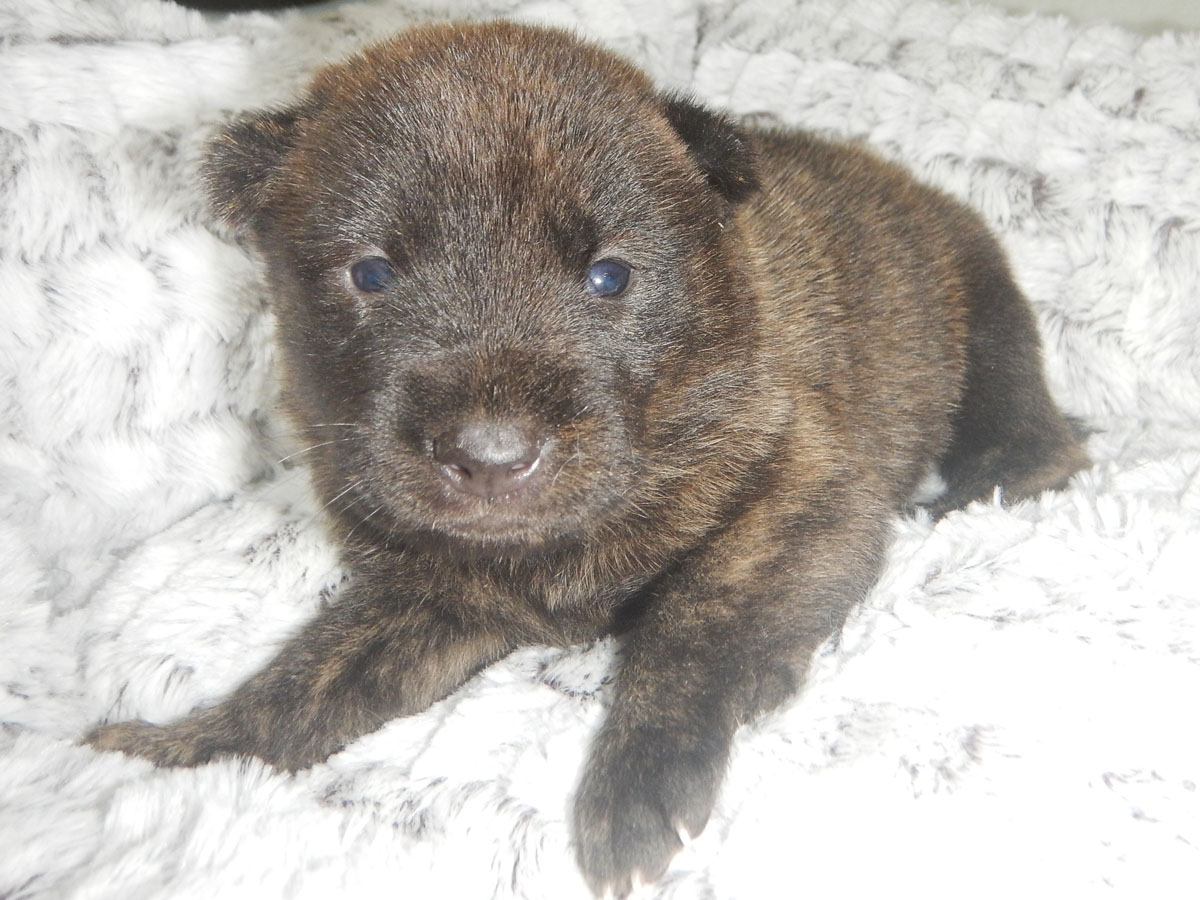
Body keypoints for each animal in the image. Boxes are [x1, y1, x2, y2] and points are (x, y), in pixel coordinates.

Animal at [86, 21, 1089, 895]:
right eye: (369, 274)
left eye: (610, 276)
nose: (491, 457)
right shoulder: (427, 589)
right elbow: (307, 683)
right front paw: (188, 750)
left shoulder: (803, 489)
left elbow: (695, 621)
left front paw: (639, 788)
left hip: (983, 304)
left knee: (1026, 408)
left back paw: (993, 483)